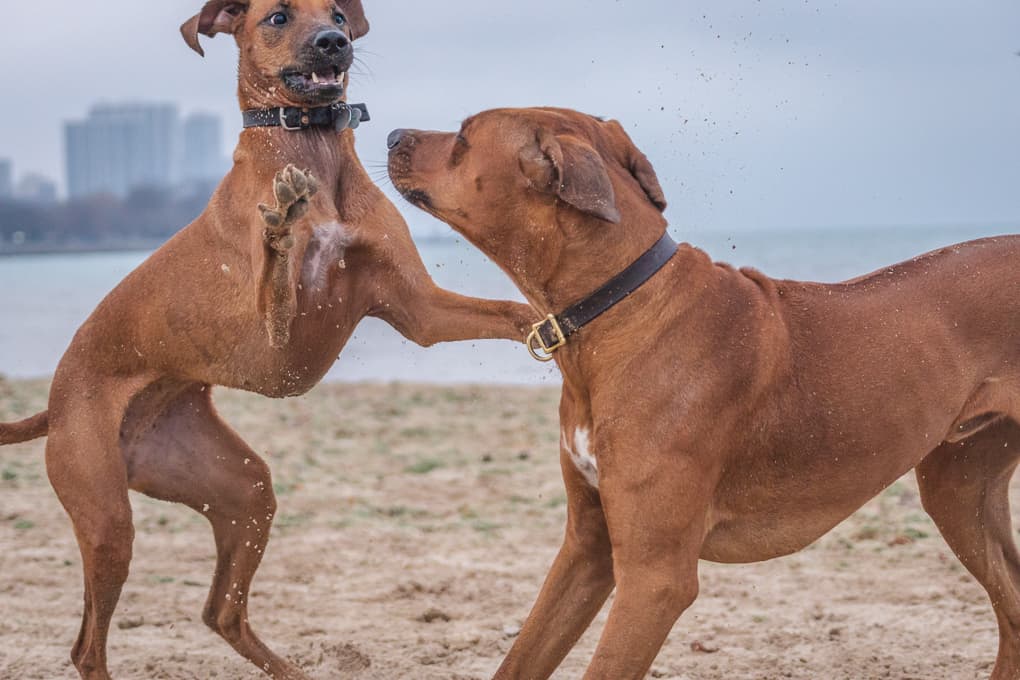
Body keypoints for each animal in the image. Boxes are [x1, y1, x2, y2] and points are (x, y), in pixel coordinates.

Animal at [1, 5, 534, 680]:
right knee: (87, 645)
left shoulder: (421, 313)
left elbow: (512, 312)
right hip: (106, 519)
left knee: (221, 612)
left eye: (337, 14)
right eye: (278, 16)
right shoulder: (272, 337)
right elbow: (276, 278)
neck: (313, 146)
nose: (333, 42)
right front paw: (281, 226)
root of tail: (55, 402)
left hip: (244, 492)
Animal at [387, 107, 1020, 680]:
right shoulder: (586, 549)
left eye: (463, 138)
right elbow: (522, 655)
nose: (391, 132)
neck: (622, 307)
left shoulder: (654, 578)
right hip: (960, 491)